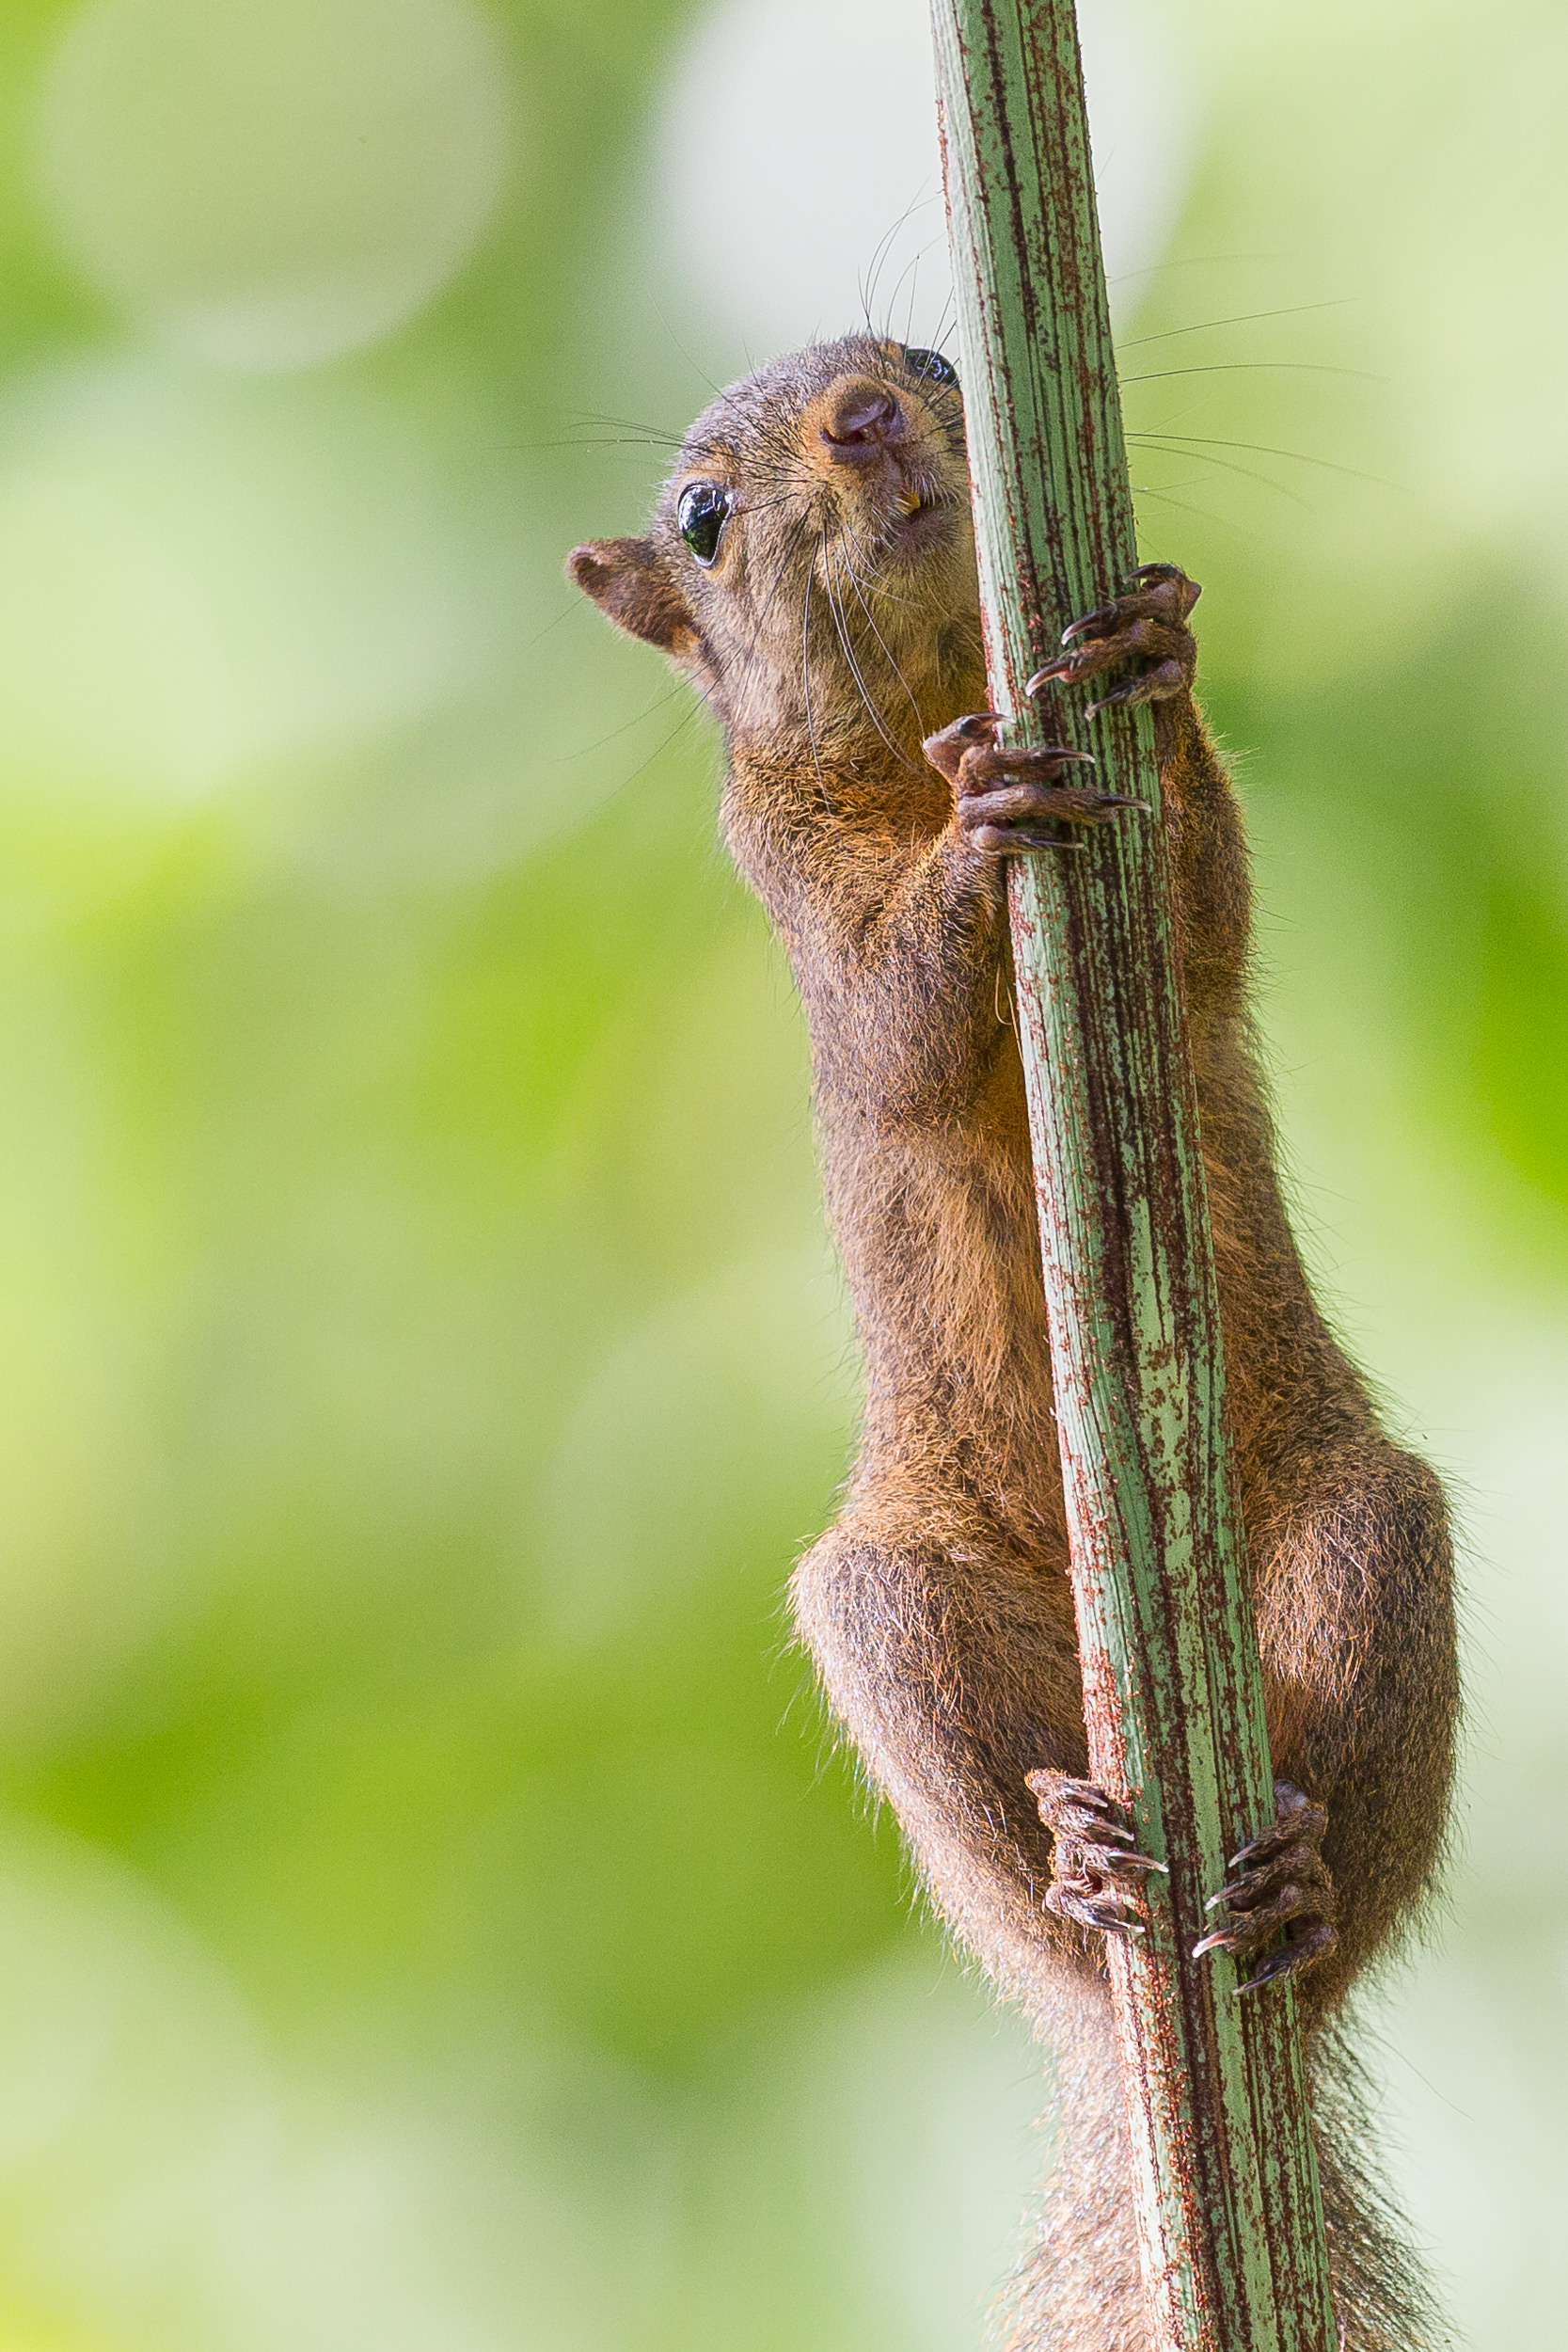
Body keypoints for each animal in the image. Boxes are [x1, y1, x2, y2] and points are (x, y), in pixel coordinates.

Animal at [568, 335, 1459, 2352]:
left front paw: (1154, 643)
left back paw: (1286, 1887)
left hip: (1368, 1543)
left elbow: (1203, 912)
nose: (869, 420)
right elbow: (895, 1030)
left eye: (935, 363)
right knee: (1022, 1852)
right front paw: (981, 836)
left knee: (1339, 1866)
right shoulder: (788, 889)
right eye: (700, 515)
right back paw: (1080, 1860)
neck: (920, 707)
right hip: (900, 1615)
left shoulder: (1176, 914)